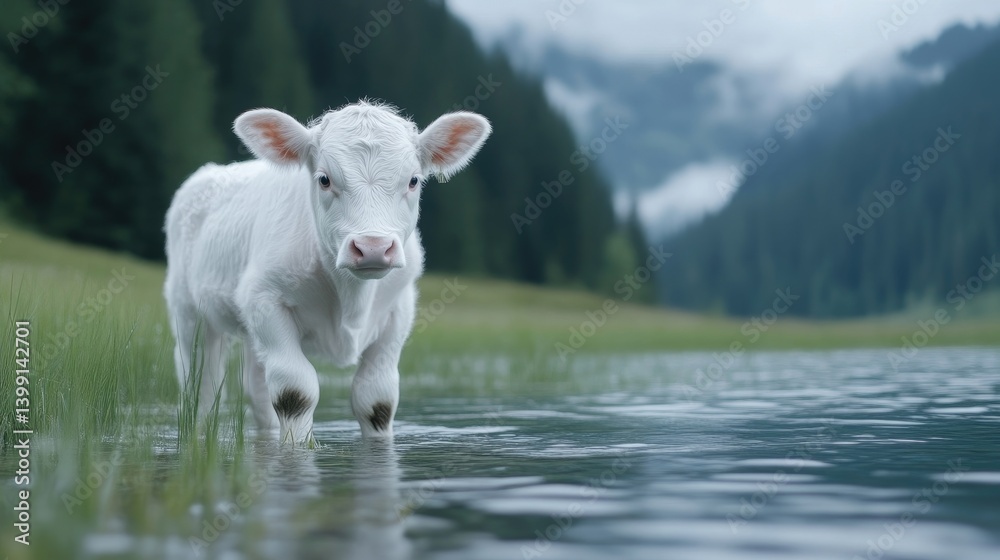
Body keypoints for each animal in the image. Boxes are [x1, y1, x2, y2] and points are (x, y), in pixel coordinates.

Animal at [163, 101, 491, 445]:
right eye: (324, 179)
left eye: (413, 180)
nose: (372, 246)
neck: (352, 298)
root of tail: (207, 172)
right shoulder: (265, 299)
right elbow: (295, 391)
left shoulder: (398, 309)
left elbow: (377, 398)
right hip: (189, 311)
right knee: (201, 383)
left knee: (256, 386)